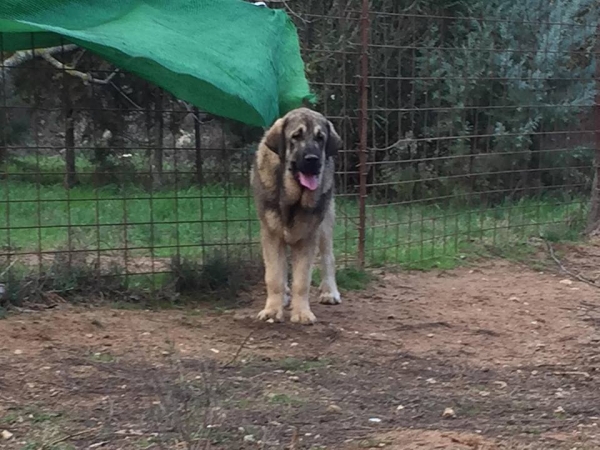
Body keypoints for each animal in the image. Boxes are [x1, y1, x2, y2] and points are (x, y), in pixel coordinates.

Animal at [250, 107, 342, 326]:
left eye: (320, 138)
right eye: (296, 136)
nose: (313, 159)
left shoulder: (308, 237)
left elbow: (302, 280)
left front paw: (301, 313)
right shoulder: (271, 235)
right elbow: (274, 276)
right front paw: (272, 310)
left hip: (325, 224)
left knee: (328, 257)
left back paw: (330, 292)